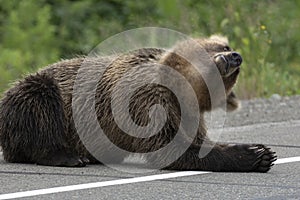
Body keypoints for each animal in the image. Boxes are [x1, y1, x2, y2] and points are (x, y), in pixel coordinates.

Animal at [0, 34, 276, 172]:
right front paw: (255, 154)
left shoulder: (188, 113)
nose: (236, 56)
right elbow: (170, 148)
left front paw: (263, 152)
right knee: (38, 106)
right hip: (41, 94)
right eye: (222, 47)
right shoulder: (146, 100)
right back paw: (68, 157)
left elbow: (196, 142)